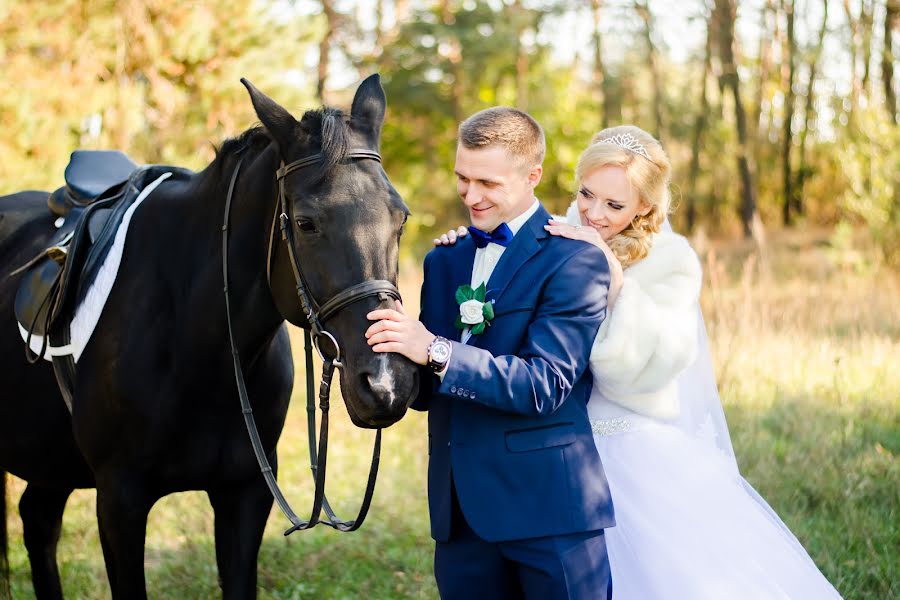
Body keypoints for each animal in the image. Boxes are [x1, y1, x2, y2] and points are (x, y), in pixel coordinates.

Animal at [0, 72, 420, 596]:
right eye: (306, 223)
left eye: (400, 218)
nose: (385, 383)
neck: (197, 347)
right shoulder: (119, 501)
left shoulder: (245, 497)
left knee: (38, 522)